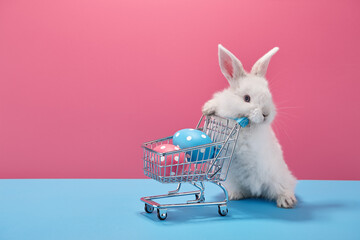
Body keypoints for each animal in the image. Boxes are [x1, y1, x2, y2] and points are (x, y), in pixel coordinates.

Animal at [202, 45, 298, 208]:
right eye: (247, 98)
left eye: (269, 95)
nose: (266, 113)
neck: (247, 124)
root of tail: (255, 190)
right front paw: (208, 108)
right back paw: (235, 195)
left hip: (278, 178)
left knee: (283, 188)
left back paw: (287, 201)